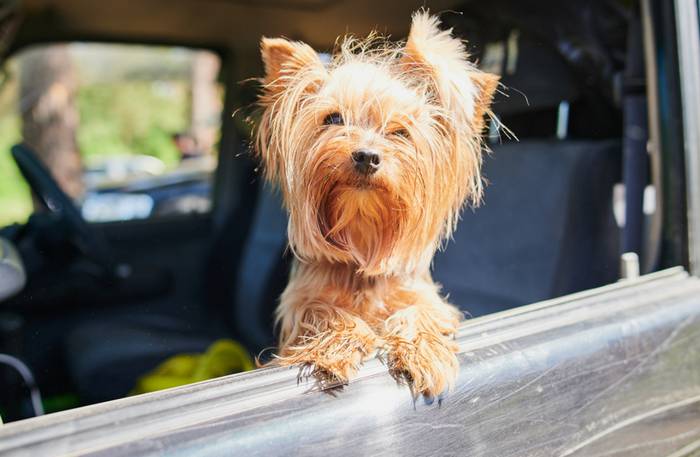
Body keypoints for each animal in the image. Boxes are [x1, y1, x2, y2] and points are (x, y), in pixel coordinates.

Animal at [256, 10, 498, 396]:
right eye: (333, 118)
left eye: (400, 132)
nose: (367, 156)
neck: (362, 236)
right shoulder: (299, 305)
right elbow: (321, 310)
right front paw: (340, 344)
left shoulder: (425, 297)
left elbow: (423, 312)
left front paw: (425, 351)